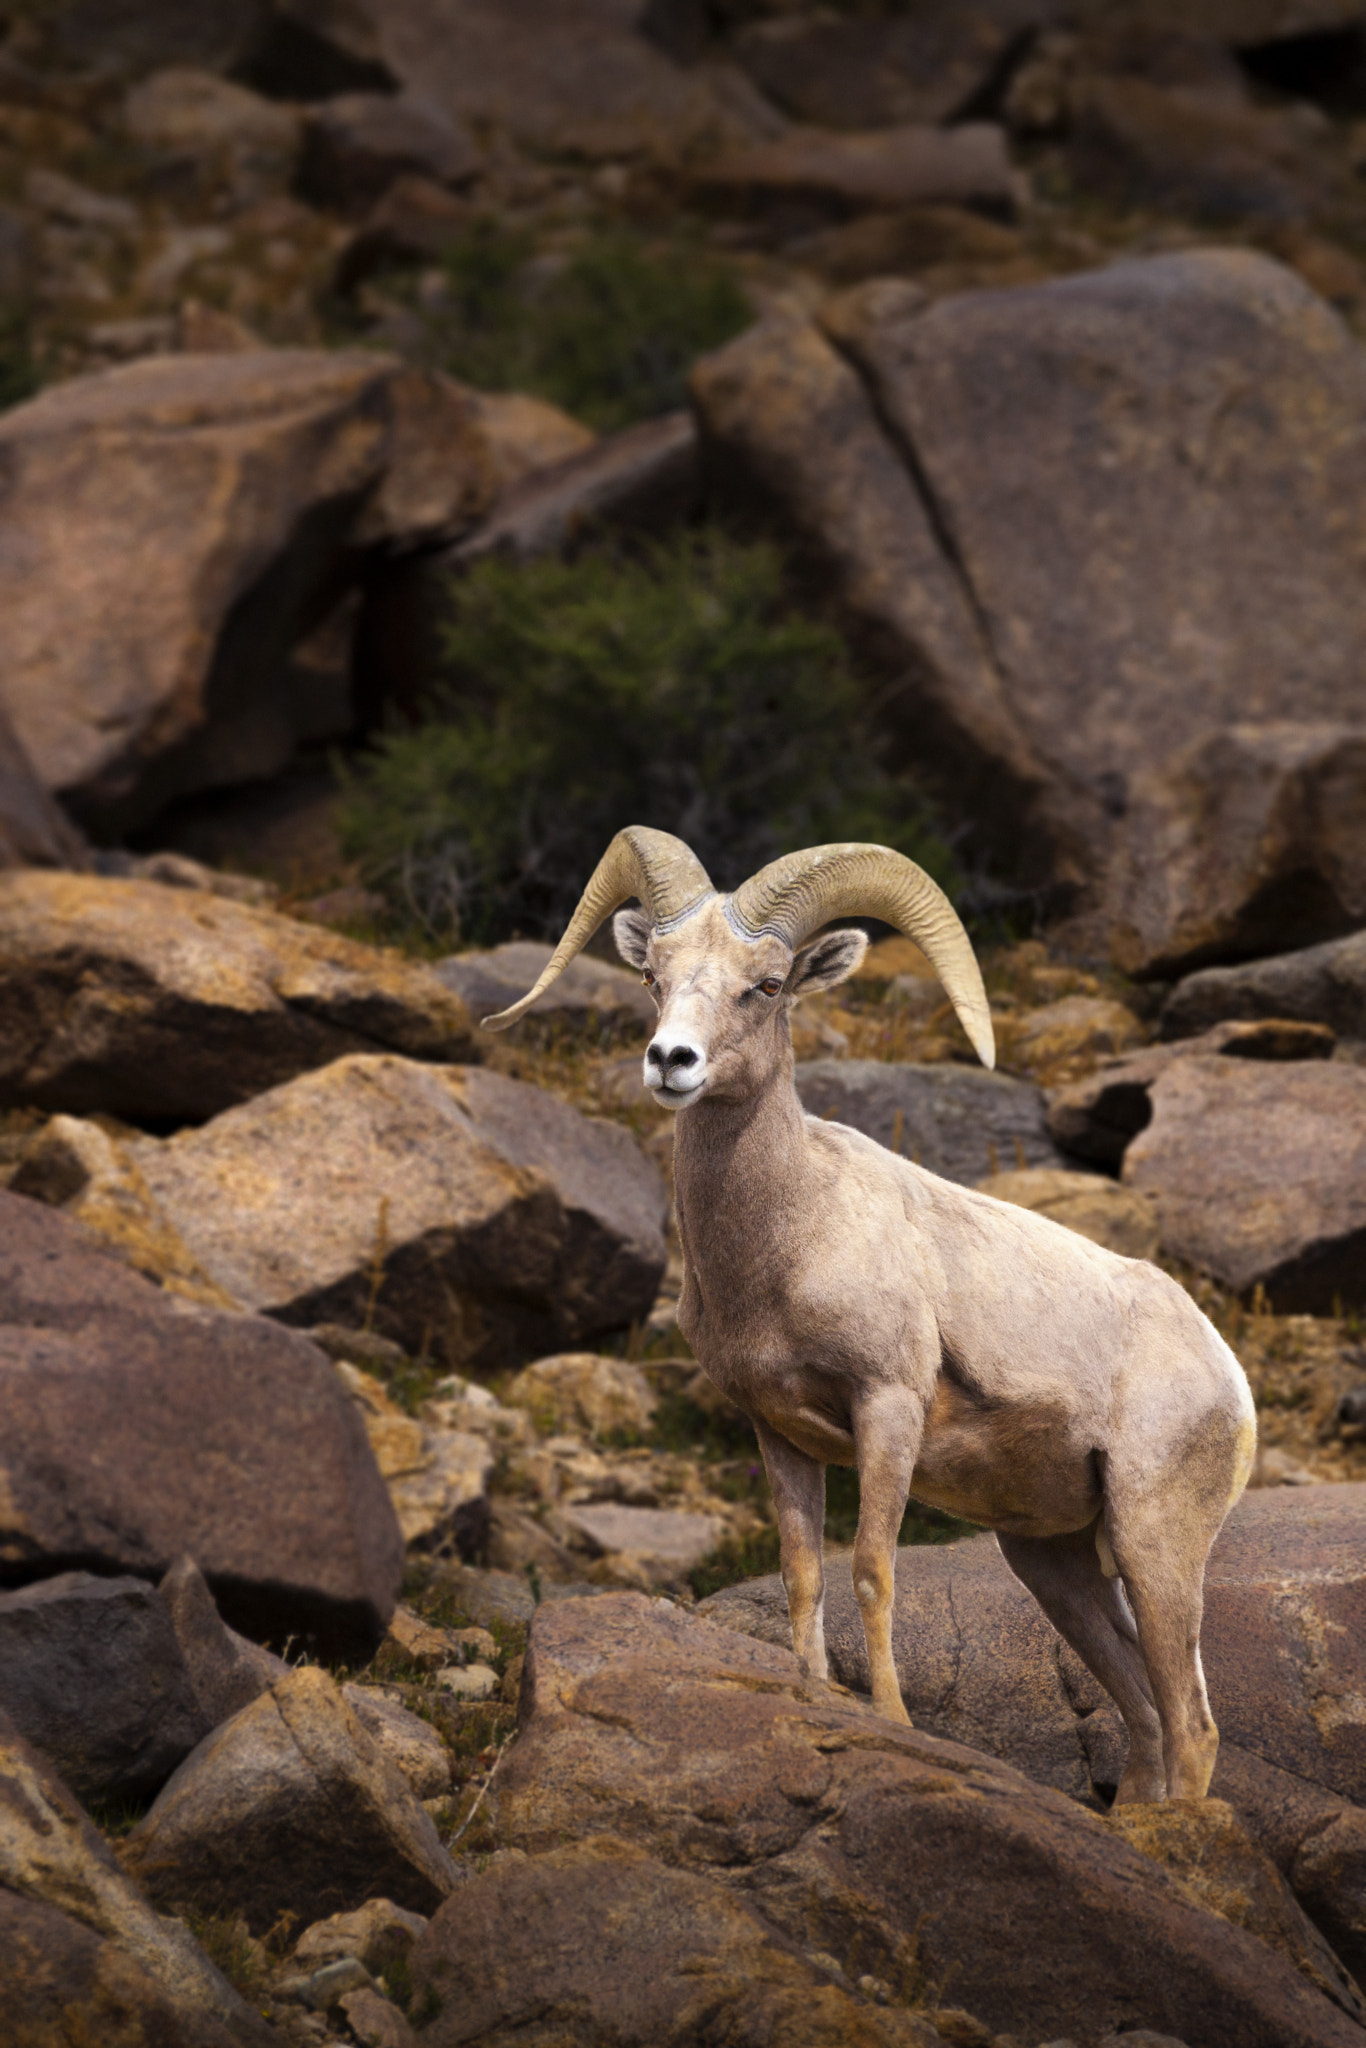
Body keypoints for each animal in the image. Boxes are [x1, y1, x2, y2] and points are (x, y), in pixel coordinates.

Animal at [484, 827, 1257, 1803]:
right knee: (1148, 1715)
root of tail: (1228, 1375)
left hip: (1156, 1542)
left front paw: (891, 1722)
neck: (788, 1237)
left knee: (1193, 1724)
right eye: (654, 975)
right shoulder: (778, 1433)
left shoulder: (887, 1407)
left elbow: (872, 1571)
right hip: (1056, 1564)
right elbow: (803, 1573)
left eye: (768, 984)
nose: (671, 1062)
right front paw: (816, 1696)